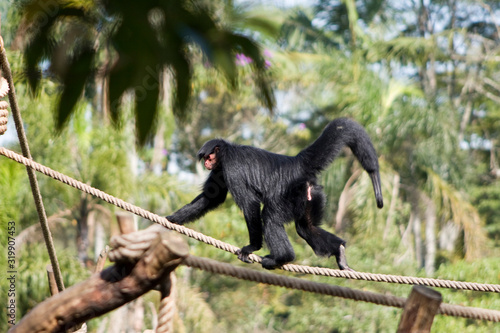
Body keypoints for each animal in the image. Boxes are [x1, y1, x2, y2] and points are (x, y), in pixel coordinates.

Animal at [168, 118, 382, 268]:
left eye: (209, 156)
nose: (206, 163)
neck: (228, 151)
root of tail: (294, 163)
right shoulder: (220, 169)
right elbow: (212, 197)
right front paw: (172, 219)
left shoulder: (231, 167)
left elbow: (250, 203)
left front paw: (251, 247)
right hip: (310, 194)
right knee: (306, 227)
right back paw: (339, 251)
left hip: (287, 196)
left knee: (270, 216)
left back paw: (281, 258)